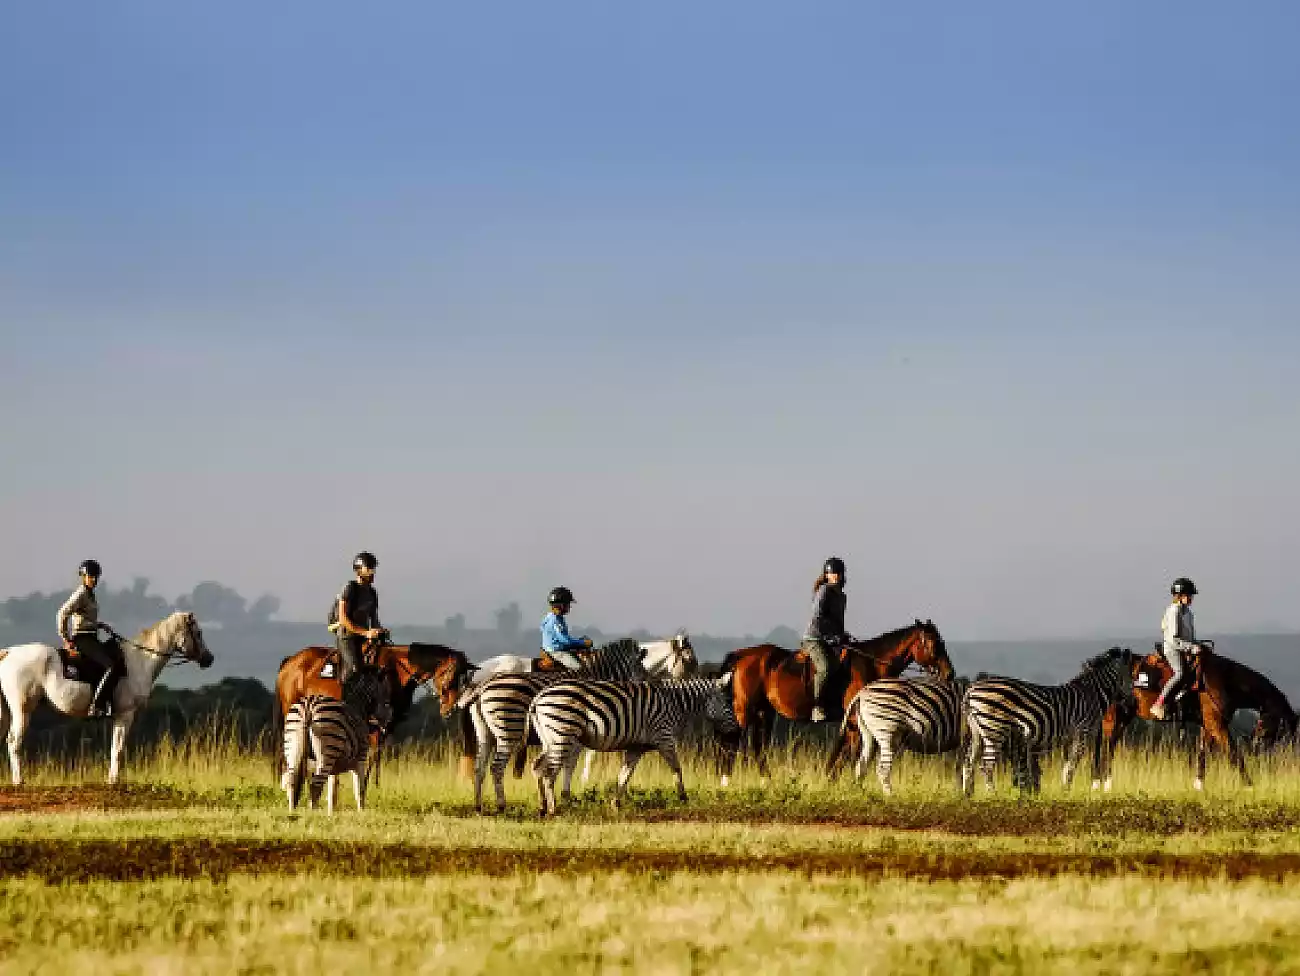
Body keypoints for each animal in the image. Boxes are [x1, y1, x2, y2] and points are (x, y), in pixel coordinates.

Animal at [0, 611, 215, 785]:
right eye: (198, 633)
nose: (209, 659)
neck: (140, 660)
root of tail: (8, 653)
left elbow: (114, 747)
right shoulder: (125, 714)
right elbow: (117, 748)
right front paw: (113, 780)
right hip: (22, 709)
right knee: (13, 741)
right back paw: (19, 781)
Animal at [272, 640, 477, 782]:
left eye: (462, 678)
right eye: (449, 674)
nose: (450, 708)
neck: (396, 671)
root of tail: (290, 662)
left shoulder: (387, 726)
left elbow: (376, 755)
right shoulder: (374, 725)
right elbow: (370, 756)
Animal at [719, 619, 953, 784]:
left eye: (942, 642)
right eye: (933, 644)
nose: (949, 673)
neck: (870, 663)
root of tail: (741, 655)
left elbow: (845, 752)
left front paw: (832, 780)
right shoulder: (855, 721)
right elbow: (852, 752)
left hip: (764, 713)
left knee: (758, 748)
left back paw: (766, 781)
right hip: (745, 709)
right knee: (732, 743)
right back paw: (726, 781)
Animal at [1096, 644, 1298, 791]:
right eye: (1281, 726)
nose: (1257, 744)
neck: (1225, 680)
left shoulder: (1208, 726)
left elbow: (1202, 753)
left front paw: (1199, 785)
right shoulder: (1217, 725)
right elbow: (1233, 754)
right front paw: (1249, 785)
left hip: (1123, 716)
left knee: (1109, 743)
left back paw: (1102, 781)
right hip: (1114, 716)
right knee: (1107, 743)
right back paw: (1105, 783)